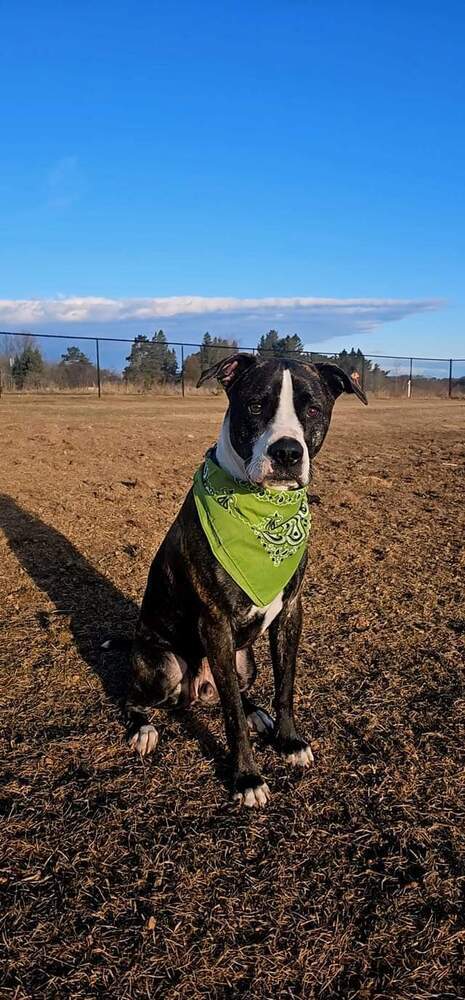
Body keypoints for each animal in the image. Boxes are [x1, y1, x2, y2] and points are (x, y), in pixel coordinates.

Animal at [105, 352, 366, 804]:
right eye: (256, 406)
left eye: (313, 409)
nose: (287, 452)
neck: (263, 508)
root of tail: (196, 689)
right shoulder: (216, 624)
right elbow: (230, 718)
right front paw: (247, 778)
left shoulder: (291, 612)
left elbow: (285, 686)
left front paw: (288, 741)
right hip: (164, 666)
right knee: (134, 697)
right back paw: (144, 729)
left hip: (246, 661)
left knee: (239, 692)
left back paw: (256, 711)